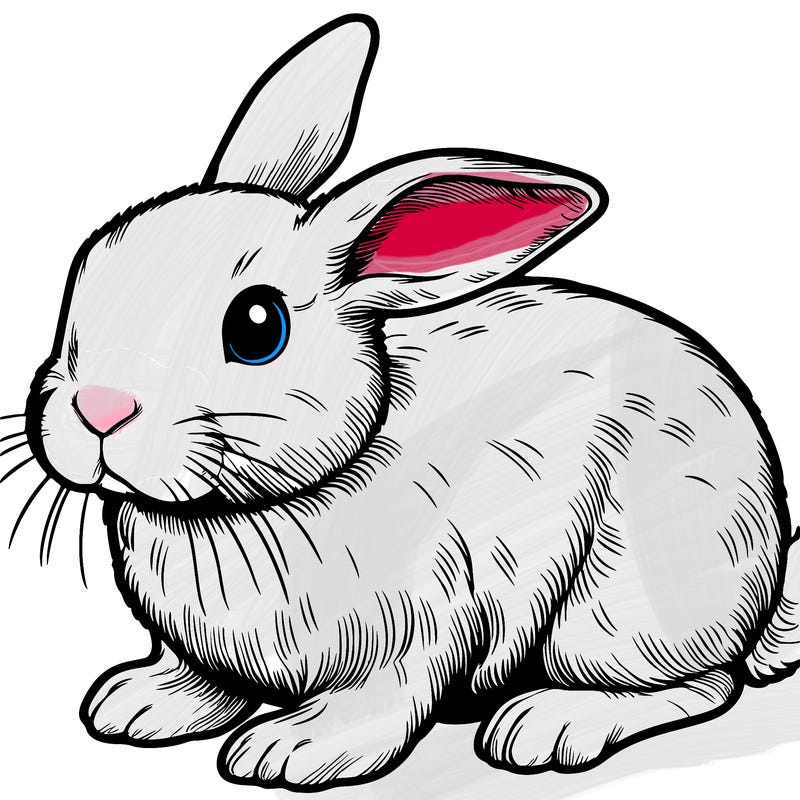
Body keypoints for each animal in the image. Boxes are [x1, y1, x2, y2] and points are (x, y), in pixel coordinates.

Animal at [13, 11, 800, 792]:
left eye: (257, 326)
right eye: (86, 272)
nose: (100, 409)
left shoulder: (419, 626)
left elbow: (380, 703)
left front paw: (291, 750)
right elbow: (204, 681)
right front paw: (137, 704)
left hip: (624, 603)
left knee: (702, 684)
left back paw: (546, 725)